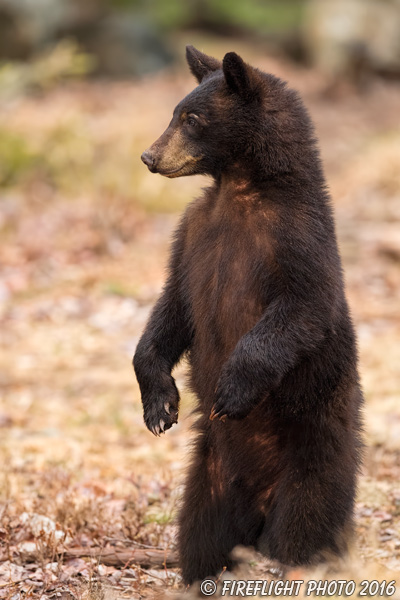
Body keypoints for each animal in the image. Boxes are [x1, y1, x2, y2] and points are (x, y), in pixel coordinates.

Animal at [134, 47, 362, 584]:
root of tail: (256, 510)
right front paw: (159, 405)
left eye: (192, 119)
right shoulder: (193, 236)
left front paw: (232, 391)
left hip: (314, 466)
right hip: (206, 482)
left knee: (302, 529)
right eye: (176, 112)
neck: (238, 191)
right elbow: (171, 308)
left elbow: (303, 308)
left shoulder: (298, 239)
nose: (149, 156)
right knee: (199, 537)